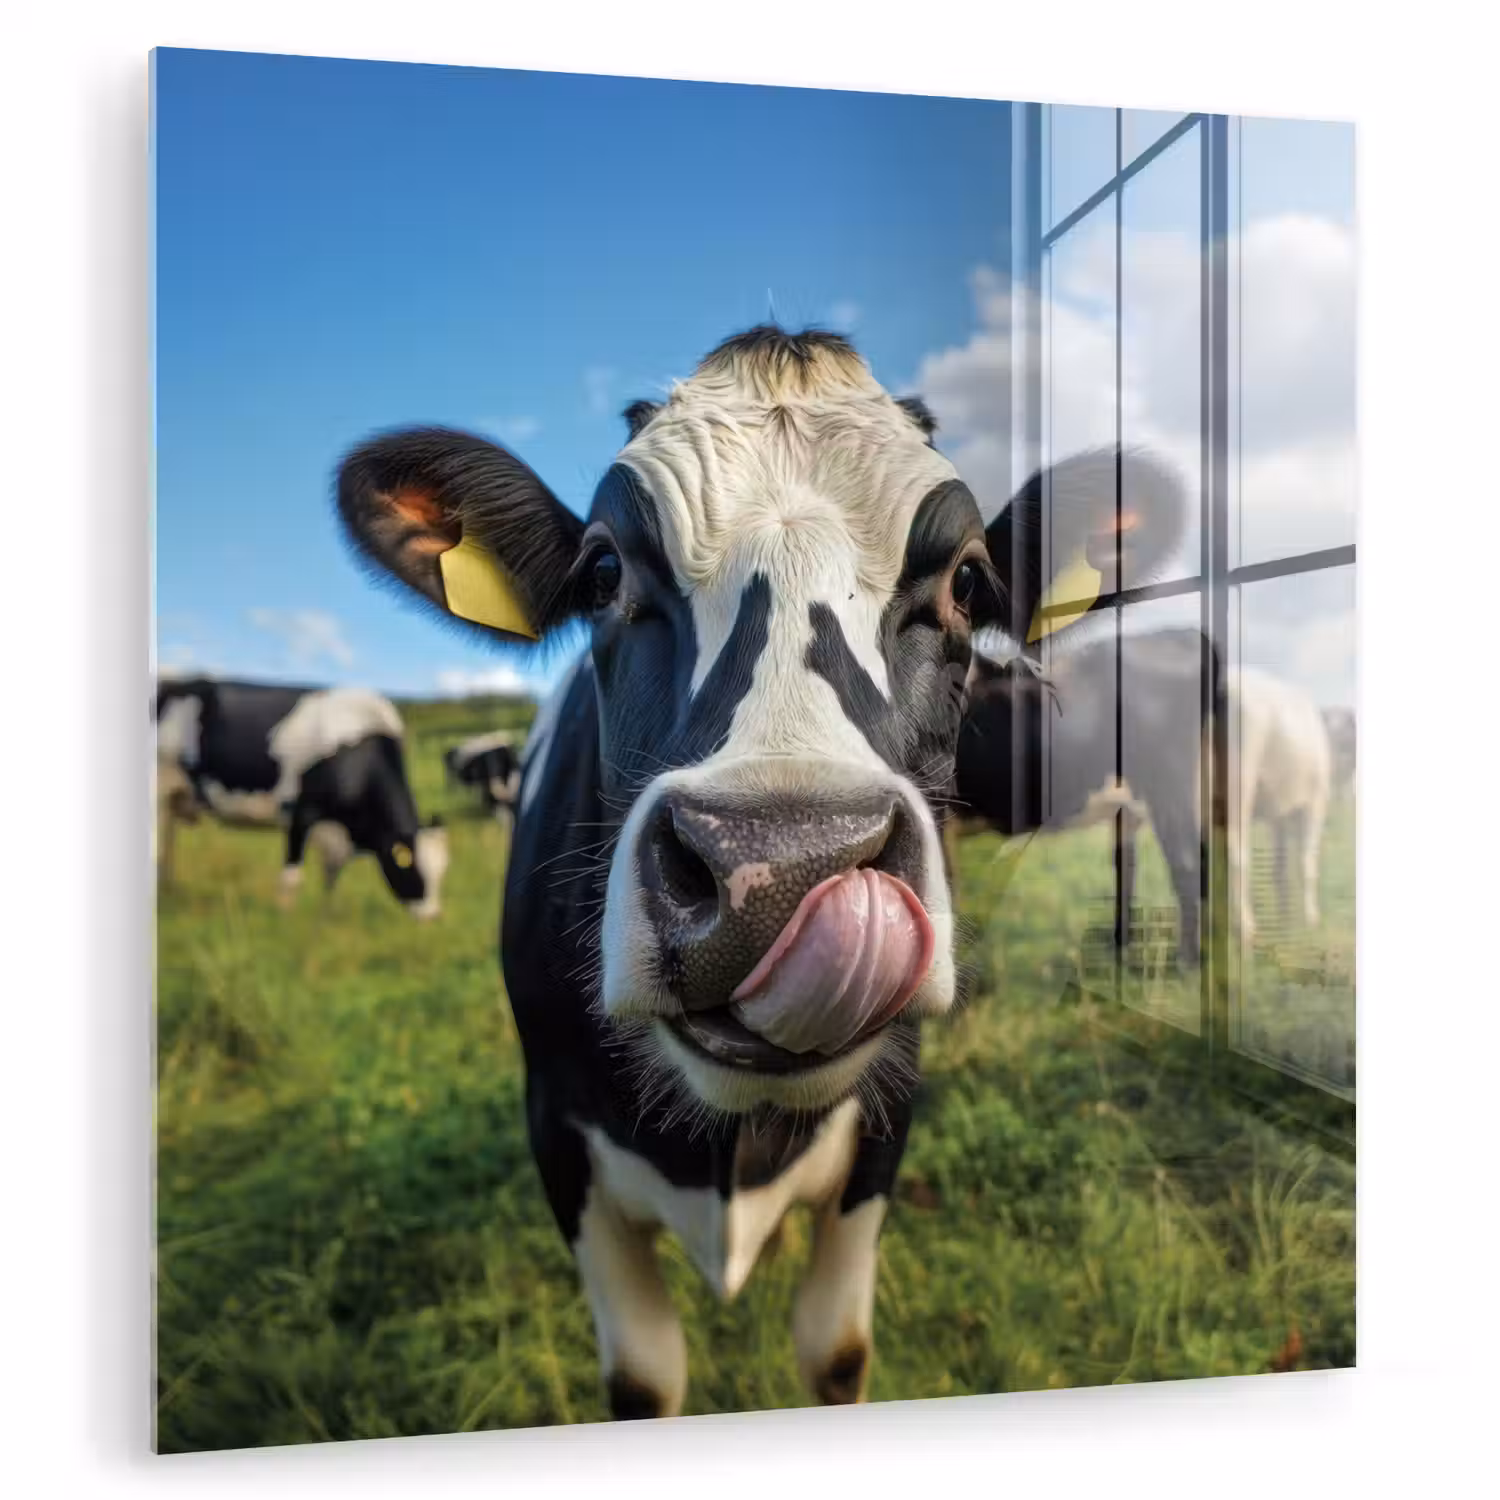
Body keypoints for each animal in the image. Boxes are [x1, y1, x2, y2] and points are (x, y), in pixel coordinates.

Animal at [154, 677, 449, 918]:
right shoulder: (301, 813)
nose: (432, 916)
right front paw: (286, 918)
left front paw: (324, 917)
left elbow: (331, 877)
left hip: (174, 798)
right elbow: (292, 876)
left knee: (168, 844)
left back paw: (169, 890)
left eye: (442, 871)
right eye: (413, 869)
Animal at [333, 326, 1186, 1419]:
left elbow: (836, 1349)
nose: (776, 871)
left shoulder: (884, 1131)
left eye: (966, 581)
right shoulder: (557, 1135)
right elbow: (644, 1376)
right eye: (602, 570)